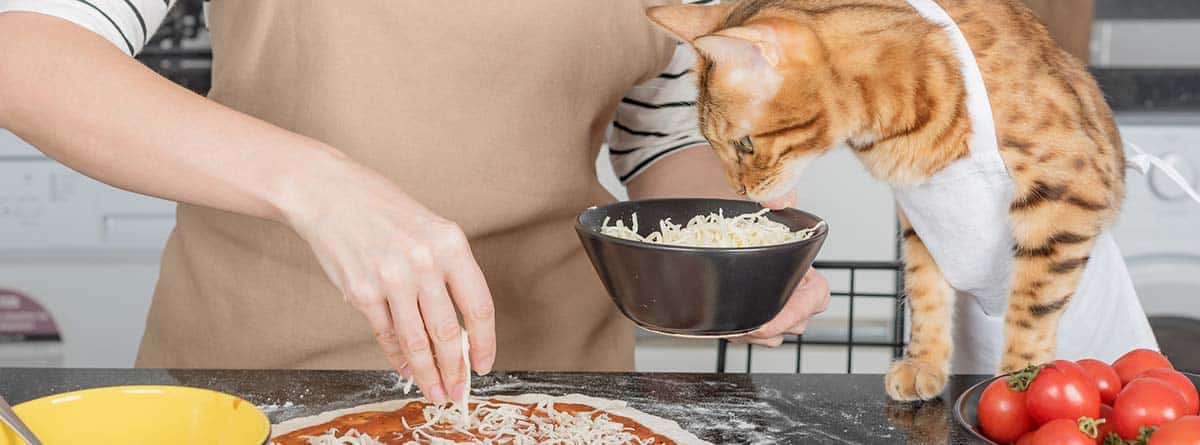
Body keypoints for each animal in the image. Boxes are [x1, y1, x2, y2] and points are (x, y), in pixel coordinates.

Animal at [648, 0, 1123, 403]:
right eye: (713, 144)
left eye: (744, 144)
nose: (739, 191)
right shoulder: (923, 218)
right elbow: (925, 295)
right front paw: (923, 364)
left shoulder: (1067, 191)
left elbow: (1030, 309)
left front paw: (1017, 386)